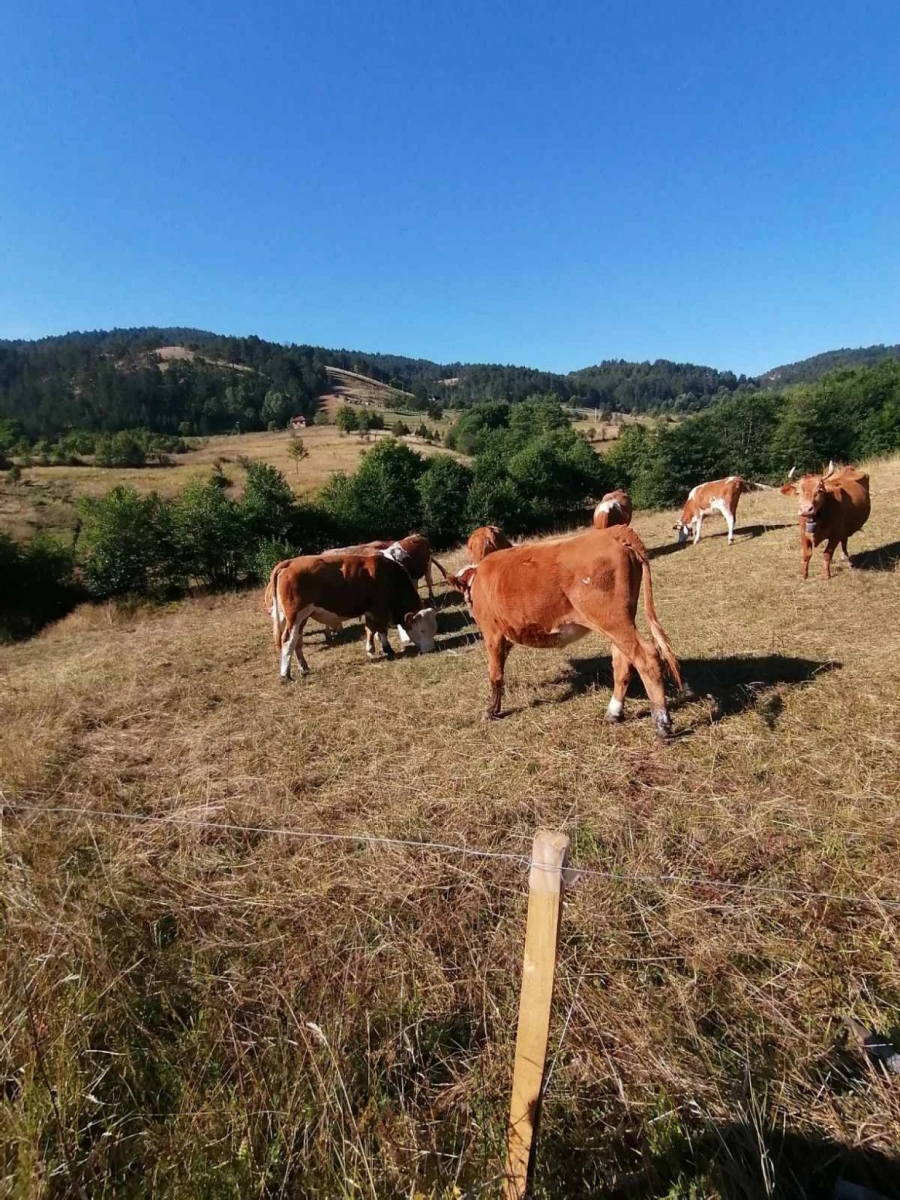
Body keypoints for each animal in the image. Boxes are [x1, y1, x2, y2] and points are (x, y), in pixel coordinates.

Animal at [266, 549, 439, 676]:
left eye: (434, 629)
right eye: (422, 630)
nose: (430, 649)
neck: (388, 575)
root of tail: (290, 563)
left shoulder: (369, 610)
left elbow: (370, 629)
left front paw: (370, 649)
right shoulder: (380, 608)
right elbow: (381, 629)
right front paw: (387, 649)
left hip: (300, 618)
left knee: (297, 641)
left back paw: (303, 667)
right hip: (296, 616)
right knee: (288, 640)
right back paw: (285, 674)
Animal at [448, 528, 686, 734]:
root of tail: (613, 532)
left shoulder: (492, 634)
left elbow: (495, 674)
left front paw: (491, 711)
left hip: (613, 620)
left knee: (646, 657)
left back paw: (662, 723)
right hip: (618, 622)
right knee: (623, 662)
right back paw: (613, 713)